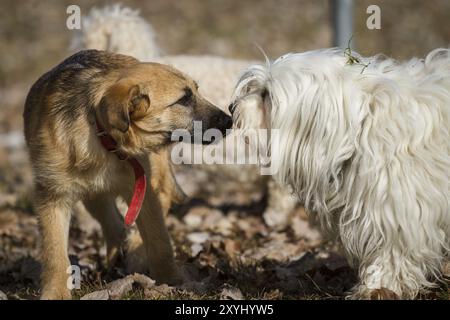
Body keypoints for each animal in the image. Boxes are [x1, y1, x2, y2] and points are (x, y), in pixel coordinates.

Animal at [23, 48, 232, 298]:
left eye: (196, 92)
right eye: (183, 99)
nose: (230, 120)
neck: (102, 138)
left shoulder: (142, 187)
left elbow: (159, 240)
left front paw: (173, 280)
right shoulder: (52, 197)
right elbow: (55, 253)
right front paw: (55, 293)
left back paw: (134, 254)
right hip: (94, 197)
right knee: (112, 223)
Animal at [232, 48, 450, 298]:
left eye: (266, 95)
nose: (231, 108)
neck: (361, 123)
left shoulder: (397, 209)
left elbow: (393, 250)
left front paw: (378, 287)